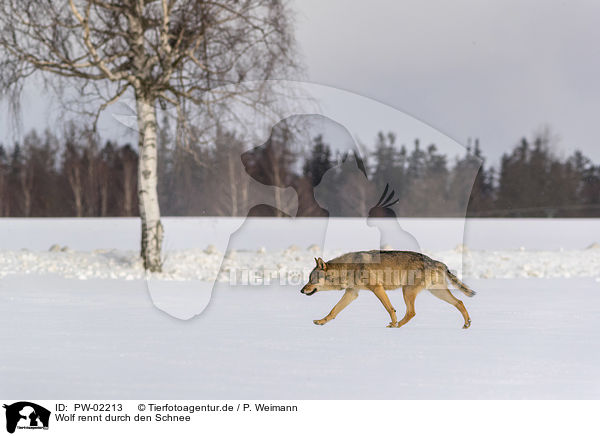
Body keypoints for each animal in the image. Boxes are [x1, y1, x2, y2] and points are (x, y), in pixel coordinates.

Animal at [302, 250, 476, 328]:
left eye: (311, 280)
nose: (301, 291)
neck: (347, 269)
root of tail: (436, 261)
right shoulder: (352, 293)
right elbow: (333, 311)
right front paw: (321, 321)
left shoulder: (377, 288)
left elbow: (389, 308)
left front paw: (393, 322)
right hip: (436, 292)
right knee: (459, 302)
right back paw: (467, 323)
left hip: (407, 291)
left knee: (411, 312)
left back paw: (396, 325)